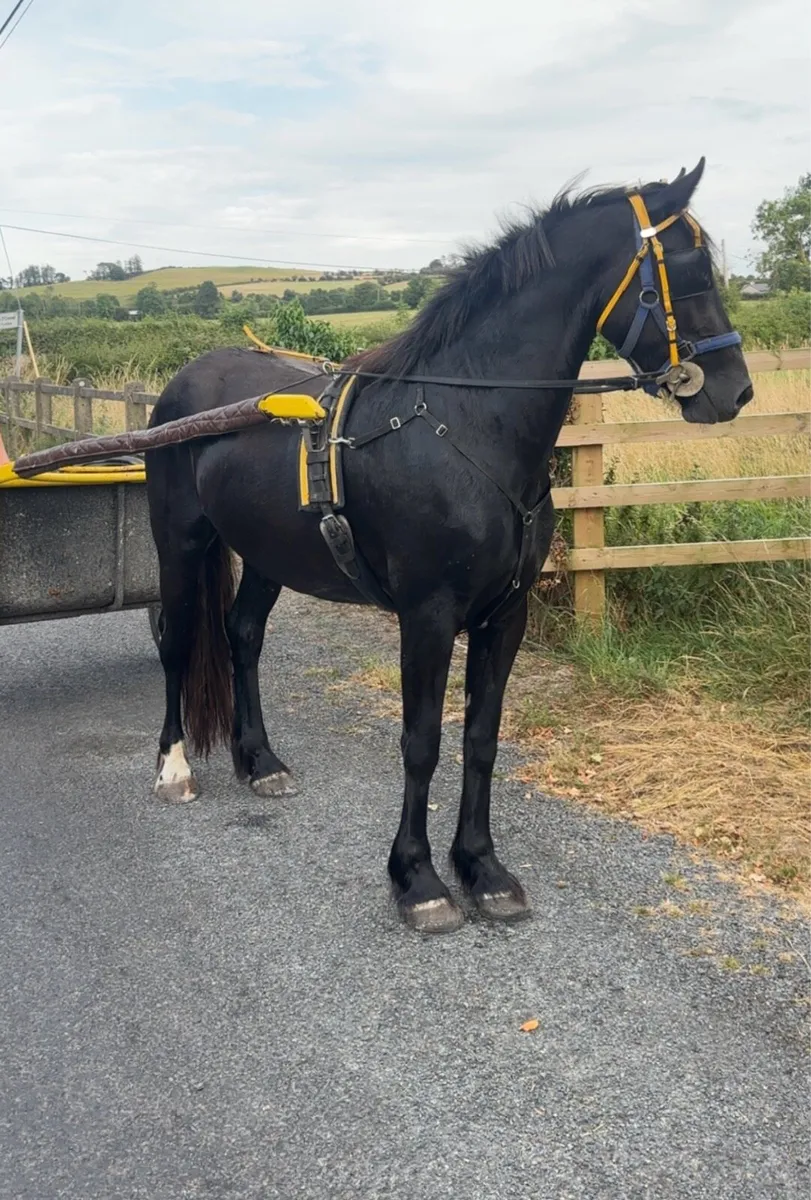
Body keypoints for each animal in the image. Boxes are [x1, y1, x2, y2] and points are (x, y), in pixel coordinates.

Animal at [145, 158, 752, 934]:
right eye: (690, 267)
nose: (734, 392)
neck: (465, 423)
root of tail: (184, 386)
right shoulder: (427, 616)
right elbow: (422, 742)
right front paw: (419, 880)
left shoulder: (506, 614)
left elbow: (480, 740)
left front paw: (483, 870)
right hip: (180, 541)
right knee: (178, 638)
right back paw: (174, 768)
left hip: (267, 554)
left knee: (241, 634)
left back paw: (260, 762)